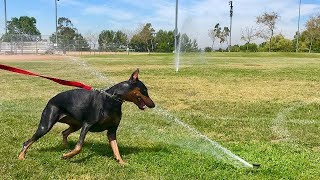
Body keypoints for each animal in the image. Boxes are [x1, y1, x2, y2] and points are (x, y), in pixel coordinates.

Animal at [17, 69, 155, 165]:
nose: (153, 105)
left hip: (75, 125)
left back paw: (65, 147)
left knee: (64, 132)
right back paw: (21, 157)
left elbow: (116, 148)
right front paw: (67, 156)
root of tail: (51, 100)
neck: (112, 100)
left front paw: (121, 162)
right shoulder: (87, 125)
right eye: (145, 90)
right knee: (27, 142)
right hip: (46, 124)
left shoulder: (112, 131)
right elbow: (79, 146)